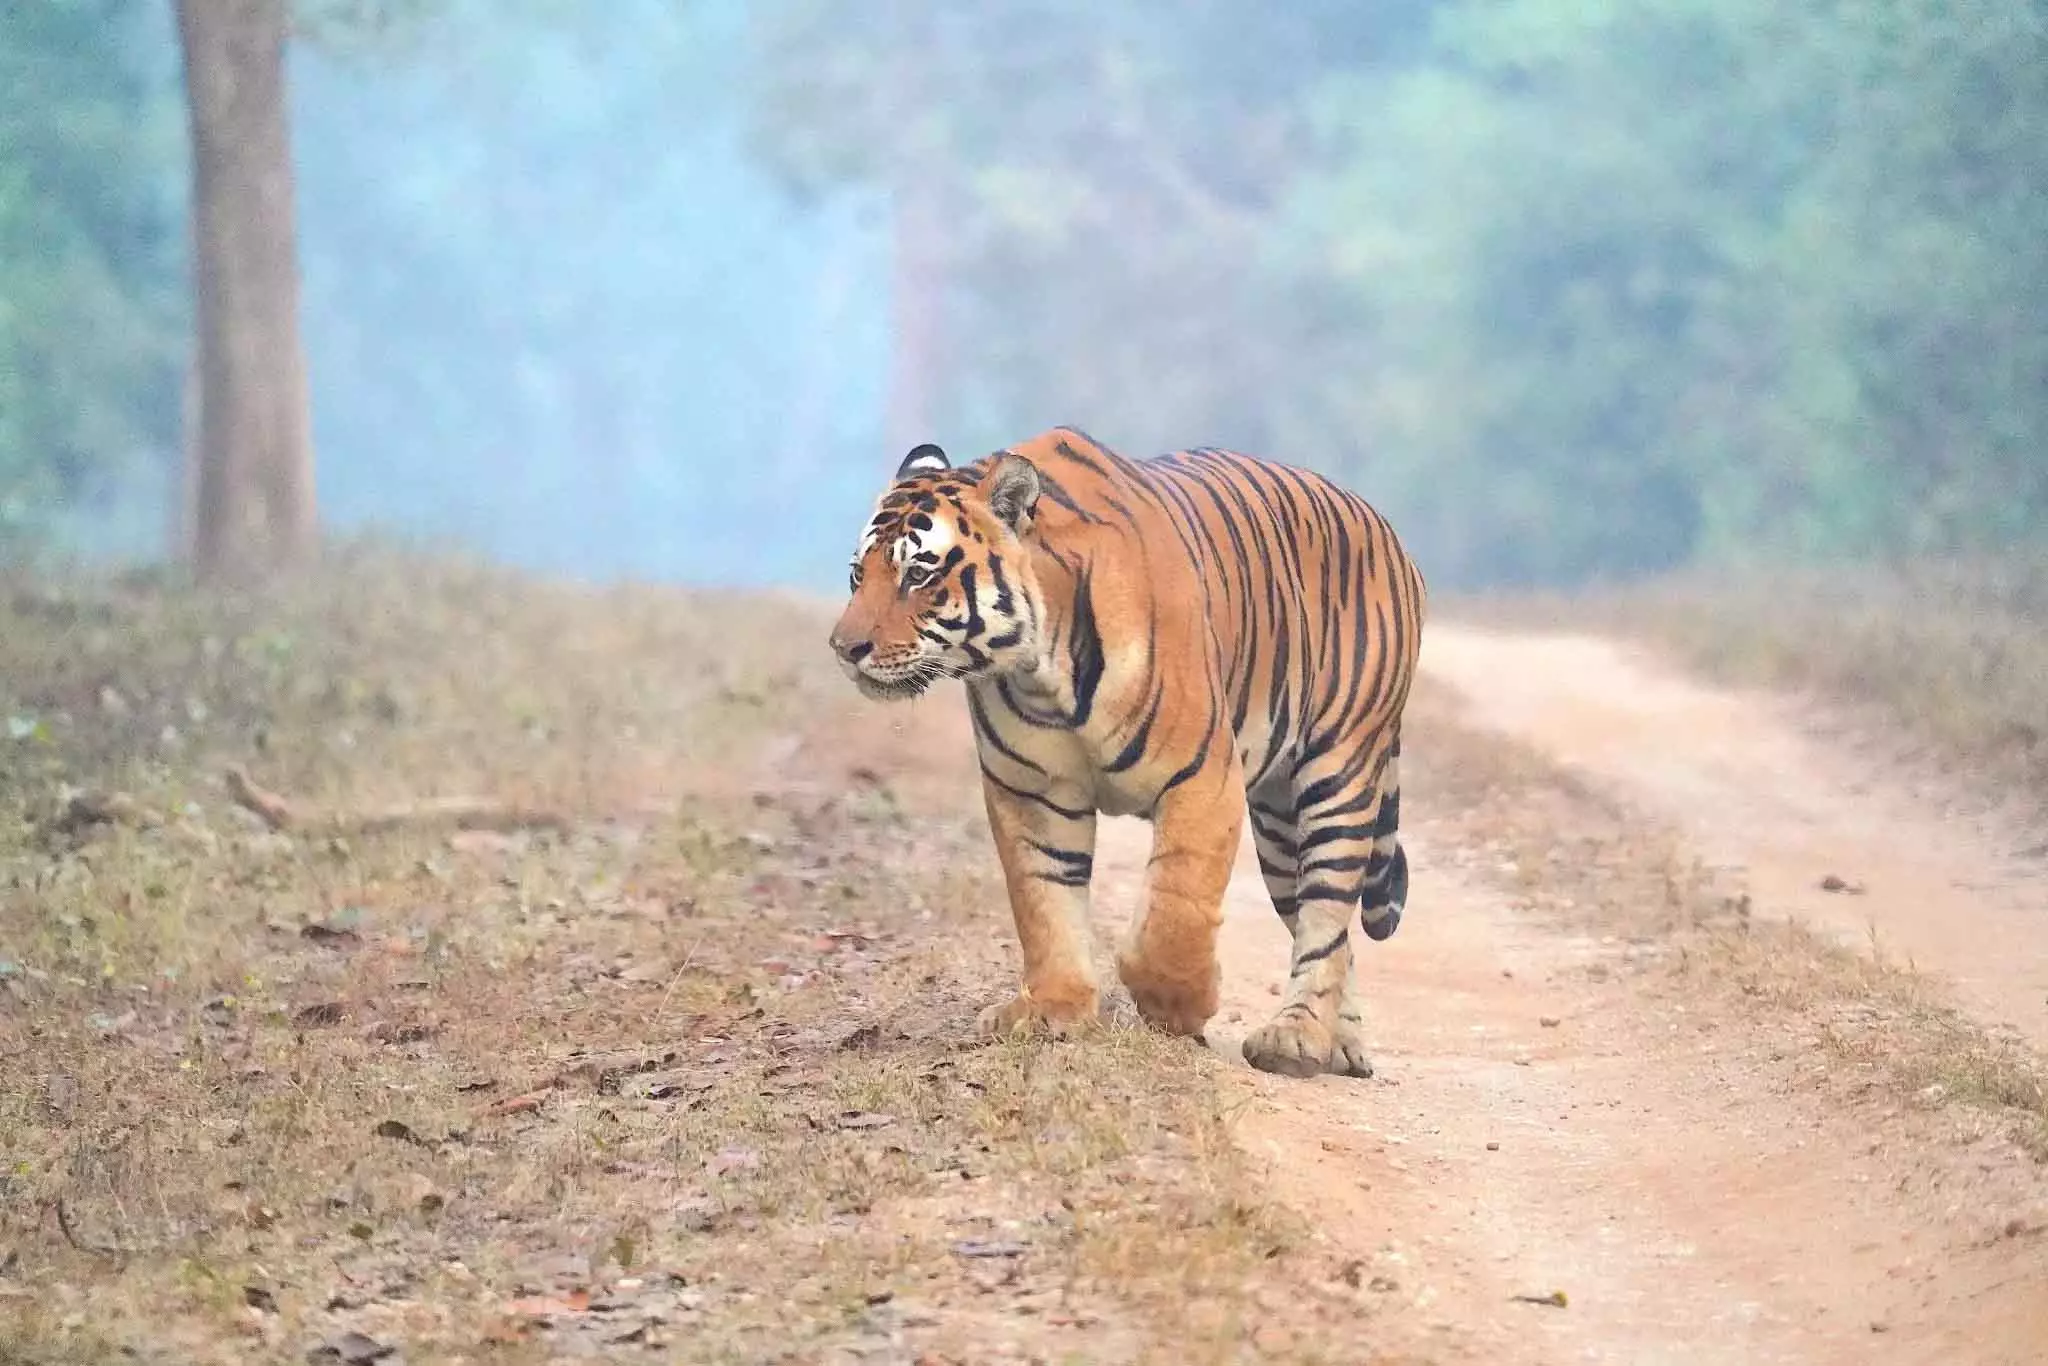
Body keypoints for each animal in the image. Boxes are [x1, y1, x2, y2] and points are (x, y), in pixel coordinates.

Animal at [827, 427, 1425, 1078]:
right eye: (858, 575)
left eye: (918, 574)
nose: (844, 647)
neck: (1040, 670)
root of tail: (1386, 528)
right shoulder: (1031, 793)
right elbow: (1044, 902)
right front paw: (1053, 1009)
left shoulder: (1203, 779)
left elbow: (1174, 910)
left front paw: (1179, 1006)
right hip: (1277, 820)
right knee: (1333, 934)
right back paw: (1341, 1042)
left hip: (1339, 773)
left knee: (1326, 911)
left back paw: (1297, 1037)